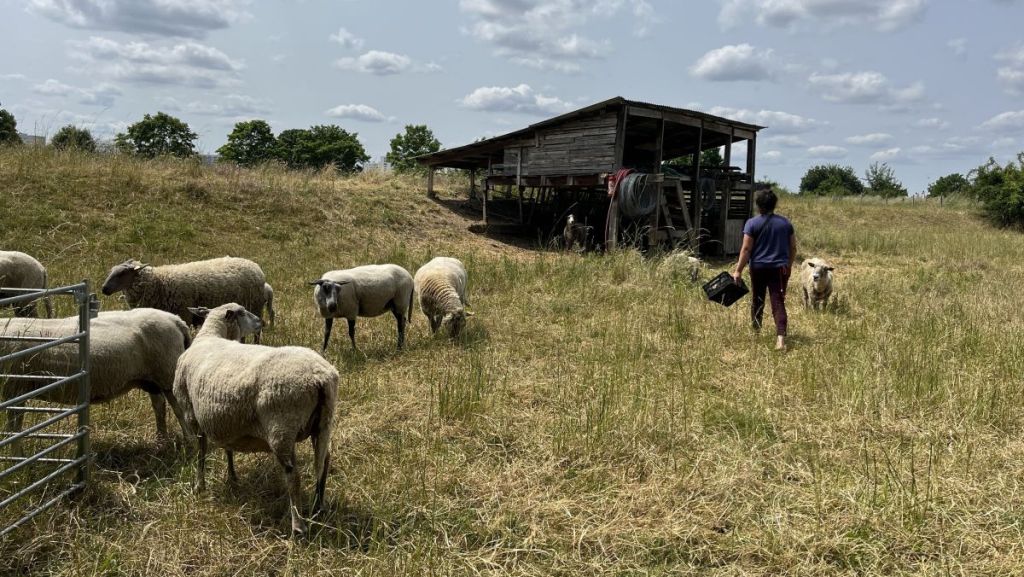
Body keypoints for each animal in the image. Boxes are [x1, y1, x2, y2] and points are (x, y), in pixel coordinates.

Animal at [0, 308, 192, 446]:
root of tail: (176, 320)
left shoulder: (15, 390)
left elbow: (14, 430)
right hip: (152, 379)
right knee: (159, 406)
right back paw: (161, 441)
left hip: (167, 373)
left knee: (179, 410)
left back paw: (190, 444)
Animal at [101, 257, 268, 342]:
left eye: (122, 273)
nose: (104, 289)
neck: (159, 282)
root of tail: (255, 266)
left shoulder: (184, 314)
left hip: (256, 307)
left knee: (257, 332)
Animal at [174, 303, 338, 537]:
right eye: (242, 312)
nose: (262, 321)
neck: (210, 336)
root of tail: (320, 377)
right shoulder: (225, 420)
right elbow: (227, 449)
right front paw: (232, 477)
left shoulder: (191, 415)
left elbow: (201, 453)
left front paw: (199, 486)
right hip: (323, 423)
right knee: (324, 462)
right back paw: (318, 507)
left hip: (281, 427)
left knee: (293, 477)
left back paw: (298, 525)